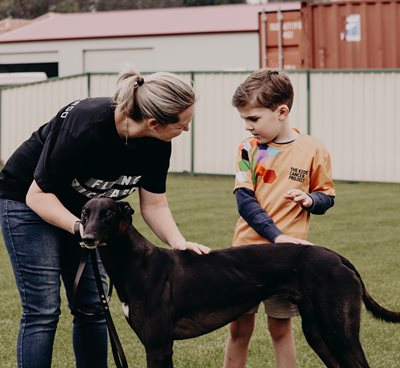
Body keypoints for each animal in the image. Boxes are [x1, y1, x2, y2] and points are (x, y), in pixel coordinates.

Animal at [80, 198, 400, 368]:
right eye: (85, 213)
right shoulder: (156, 344)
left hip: (340, 333)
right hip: (317, 332)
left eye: (108, 213)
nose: (87, 239)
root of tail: (339, 258)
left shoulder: (158, 345)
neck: (137, 263)